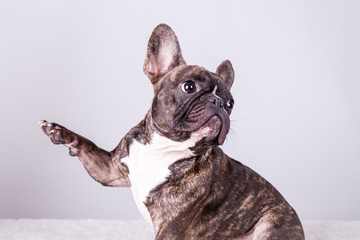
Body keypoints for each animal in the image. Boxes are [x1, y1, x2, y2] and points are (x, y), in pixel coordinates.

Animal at [40, 23, 304, 239]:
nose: (219, 103)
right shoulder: (109, 169)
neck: (163, 146)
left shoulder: (172, 226)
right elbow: (88, 146)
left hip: (270, 224)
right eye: (189, 87)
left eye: (231, 104)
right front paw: (60, 132)